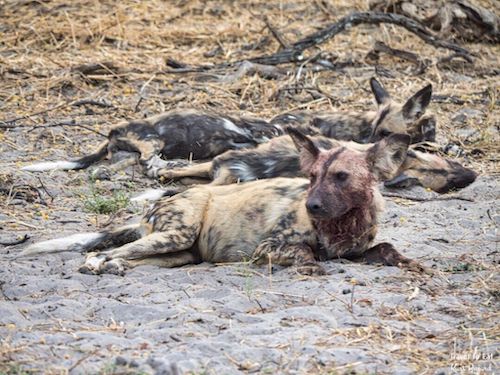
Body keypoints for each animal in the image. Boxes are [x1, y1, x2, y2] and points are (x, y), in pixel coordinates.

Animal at [21, 129, 424, 276]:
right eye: (311, 177)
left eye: (340, 177)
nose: (312, 206)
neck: (342, 225)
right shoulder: (269, 248)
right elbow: (307, 255)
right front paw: (312, 267)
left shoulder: (356, 250)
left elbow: (387, 249)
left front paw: (406, 261)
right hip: (177, 235)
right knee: (100, 252)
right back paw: (96, 265)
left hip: (180, 252)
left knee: (122, 256)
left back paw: (116, 267)